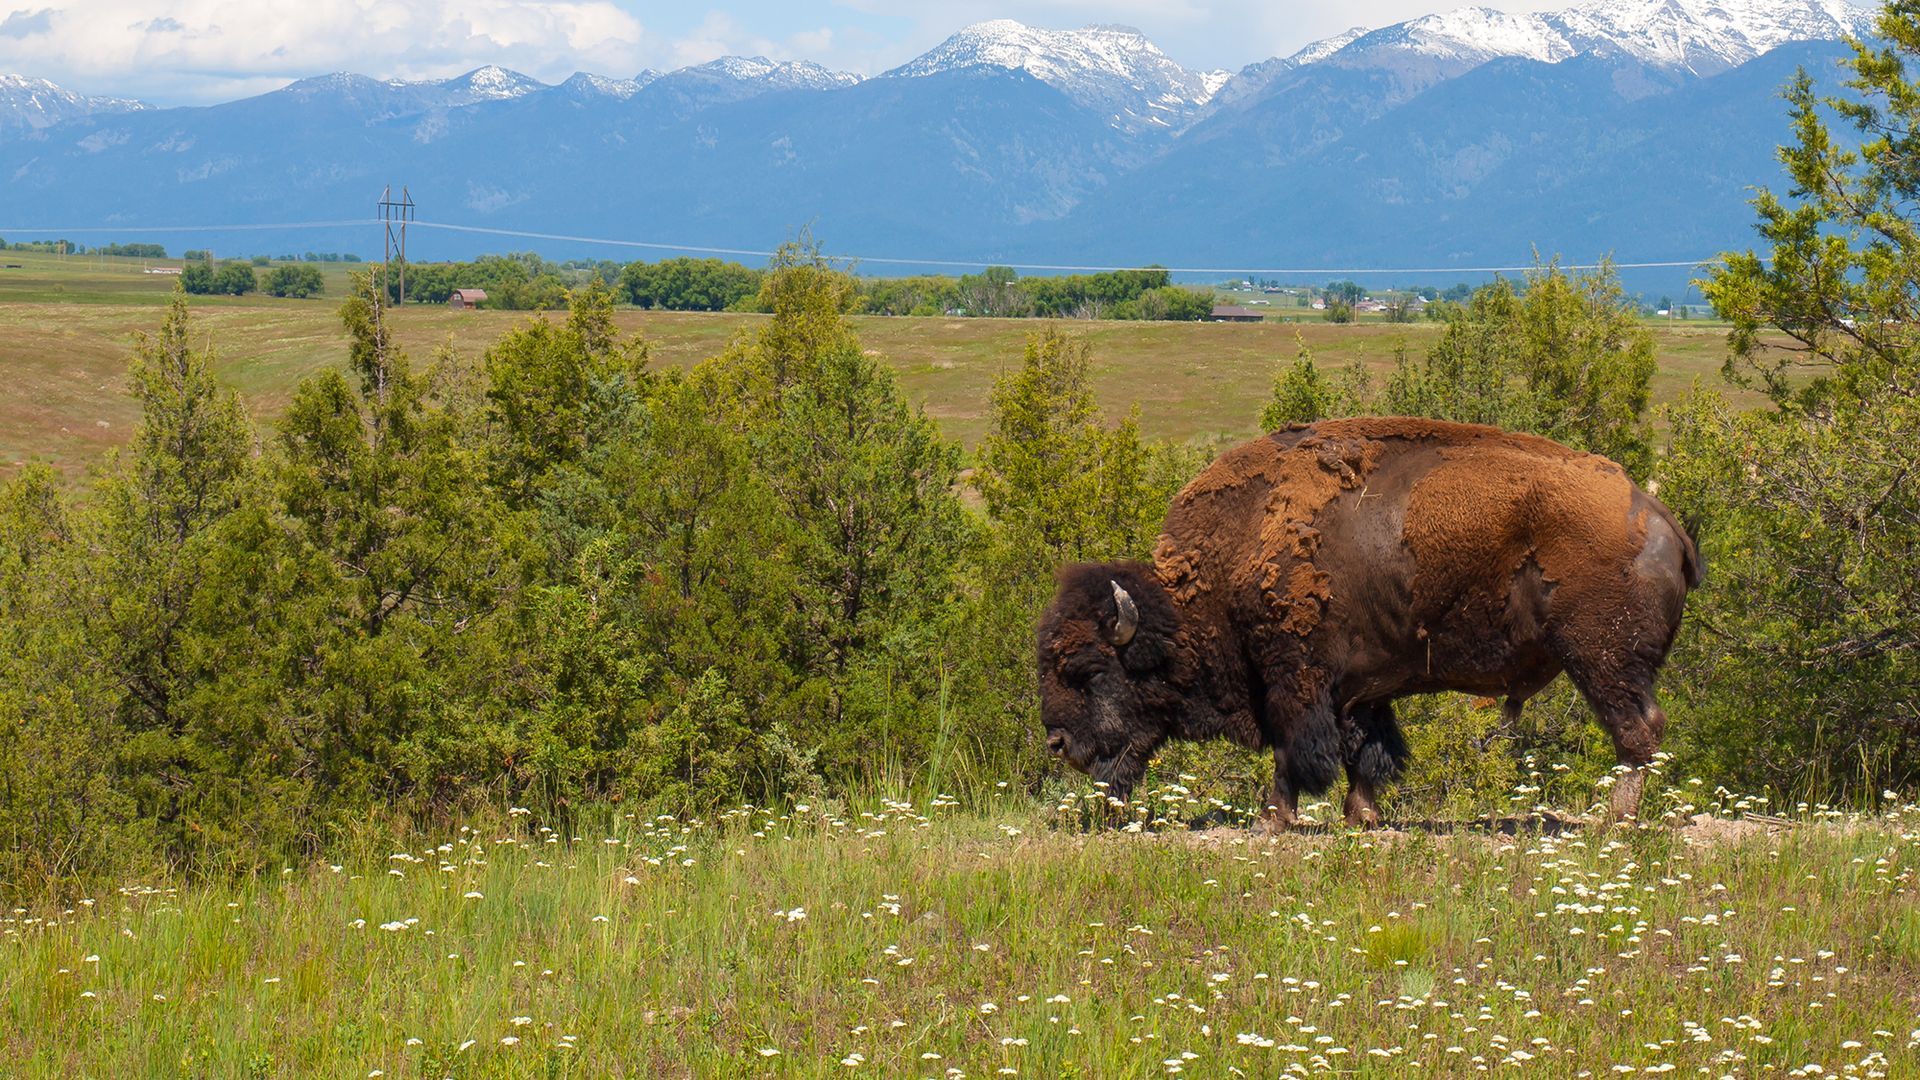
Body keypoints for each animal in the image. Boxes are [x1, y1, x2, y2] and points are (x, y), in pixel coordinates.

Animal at [1036, 418, 1700, 827]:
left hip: (1602, 661)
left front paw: (1272, 821)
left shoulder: (1296, 679)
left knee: (1638, 732)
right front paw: (1364, 816)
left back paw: (1614, 819)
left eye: (1088, 672)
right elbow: (1369, 751)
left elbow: (1297, 751)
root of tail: (1659, 516)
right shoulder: (1363, 689)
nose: (1058, 744)